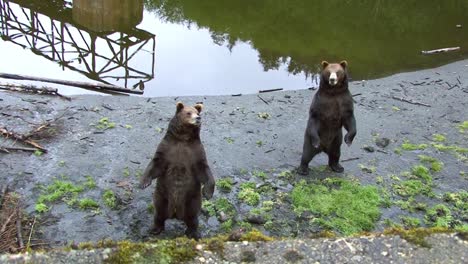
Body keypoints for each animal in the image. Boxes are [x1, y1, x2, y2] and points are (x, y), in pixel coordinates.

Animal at [137, 101, 214, 239]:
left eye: (197, 112)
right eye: (188, 112)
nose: (198, 118)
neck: (183, 139)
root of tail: (175, 214)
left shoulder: (196, 153)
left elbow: (204, 170)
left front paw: (208, 193)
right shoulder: (167, 149)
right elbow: (155, 164)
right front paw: (143, 183)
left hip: (192, 200)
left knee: (193, 217)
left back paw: (193, 233)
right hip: (162, 196)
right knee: (159, 213)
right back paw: (155, 229)